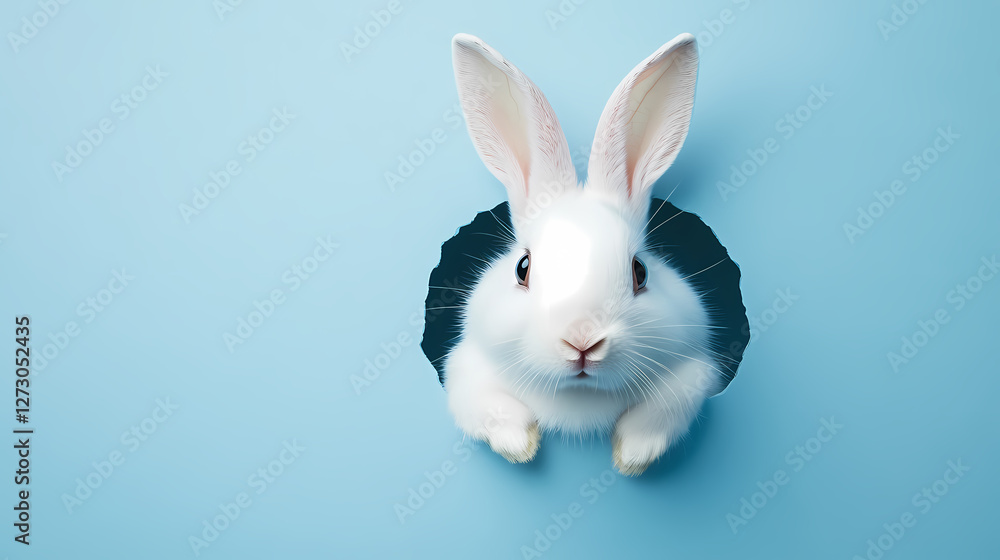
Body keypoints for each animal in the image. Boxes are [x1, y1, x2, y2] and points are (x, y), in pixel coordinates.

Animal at [444, 32, 718, 476]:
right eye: (522, 268)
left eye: (640, 271)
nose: (582, 341)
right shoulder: (463, 368)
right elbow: (487, 406)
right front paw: (520, 445)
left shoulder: (696, 371)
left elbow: (666, 407)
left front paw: (633, 455)